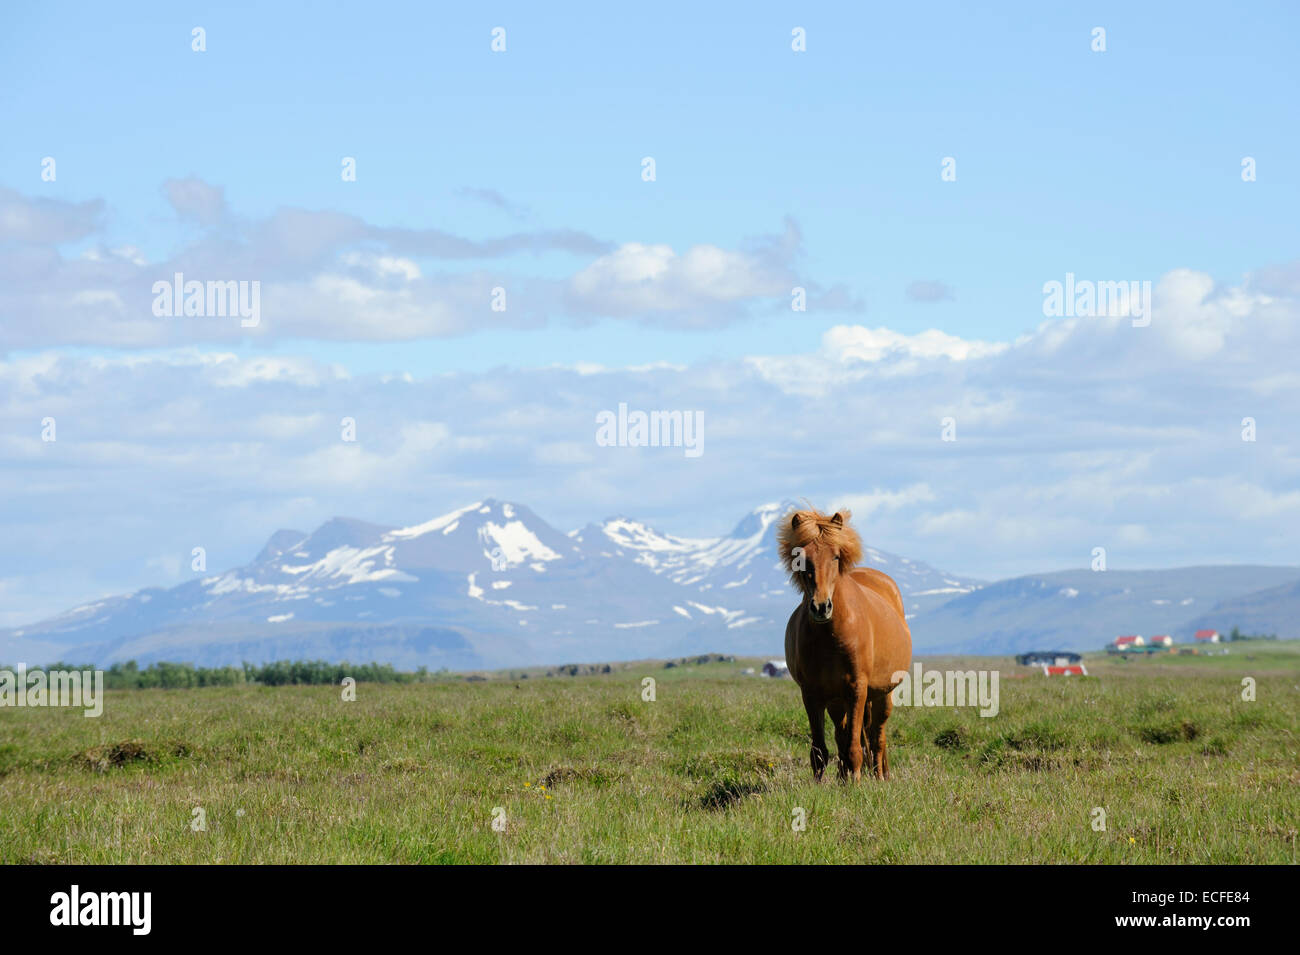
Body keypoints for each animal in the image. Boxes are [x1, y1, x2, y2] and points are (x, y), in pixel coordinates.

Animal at [780, 511, 915, 779]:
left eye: (835, 556)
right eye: (801, 558)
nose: (821, 607)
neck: (829, 635)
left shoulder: (857, 689)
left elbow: (855, 747)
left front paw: (855, 782)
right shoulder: (812, 694)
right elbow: (820, 751)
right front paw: (825, 783)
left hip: (882, 695)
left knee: (876, 737)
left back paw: (880, 776)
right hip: (836, 701)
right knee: (844, 736)